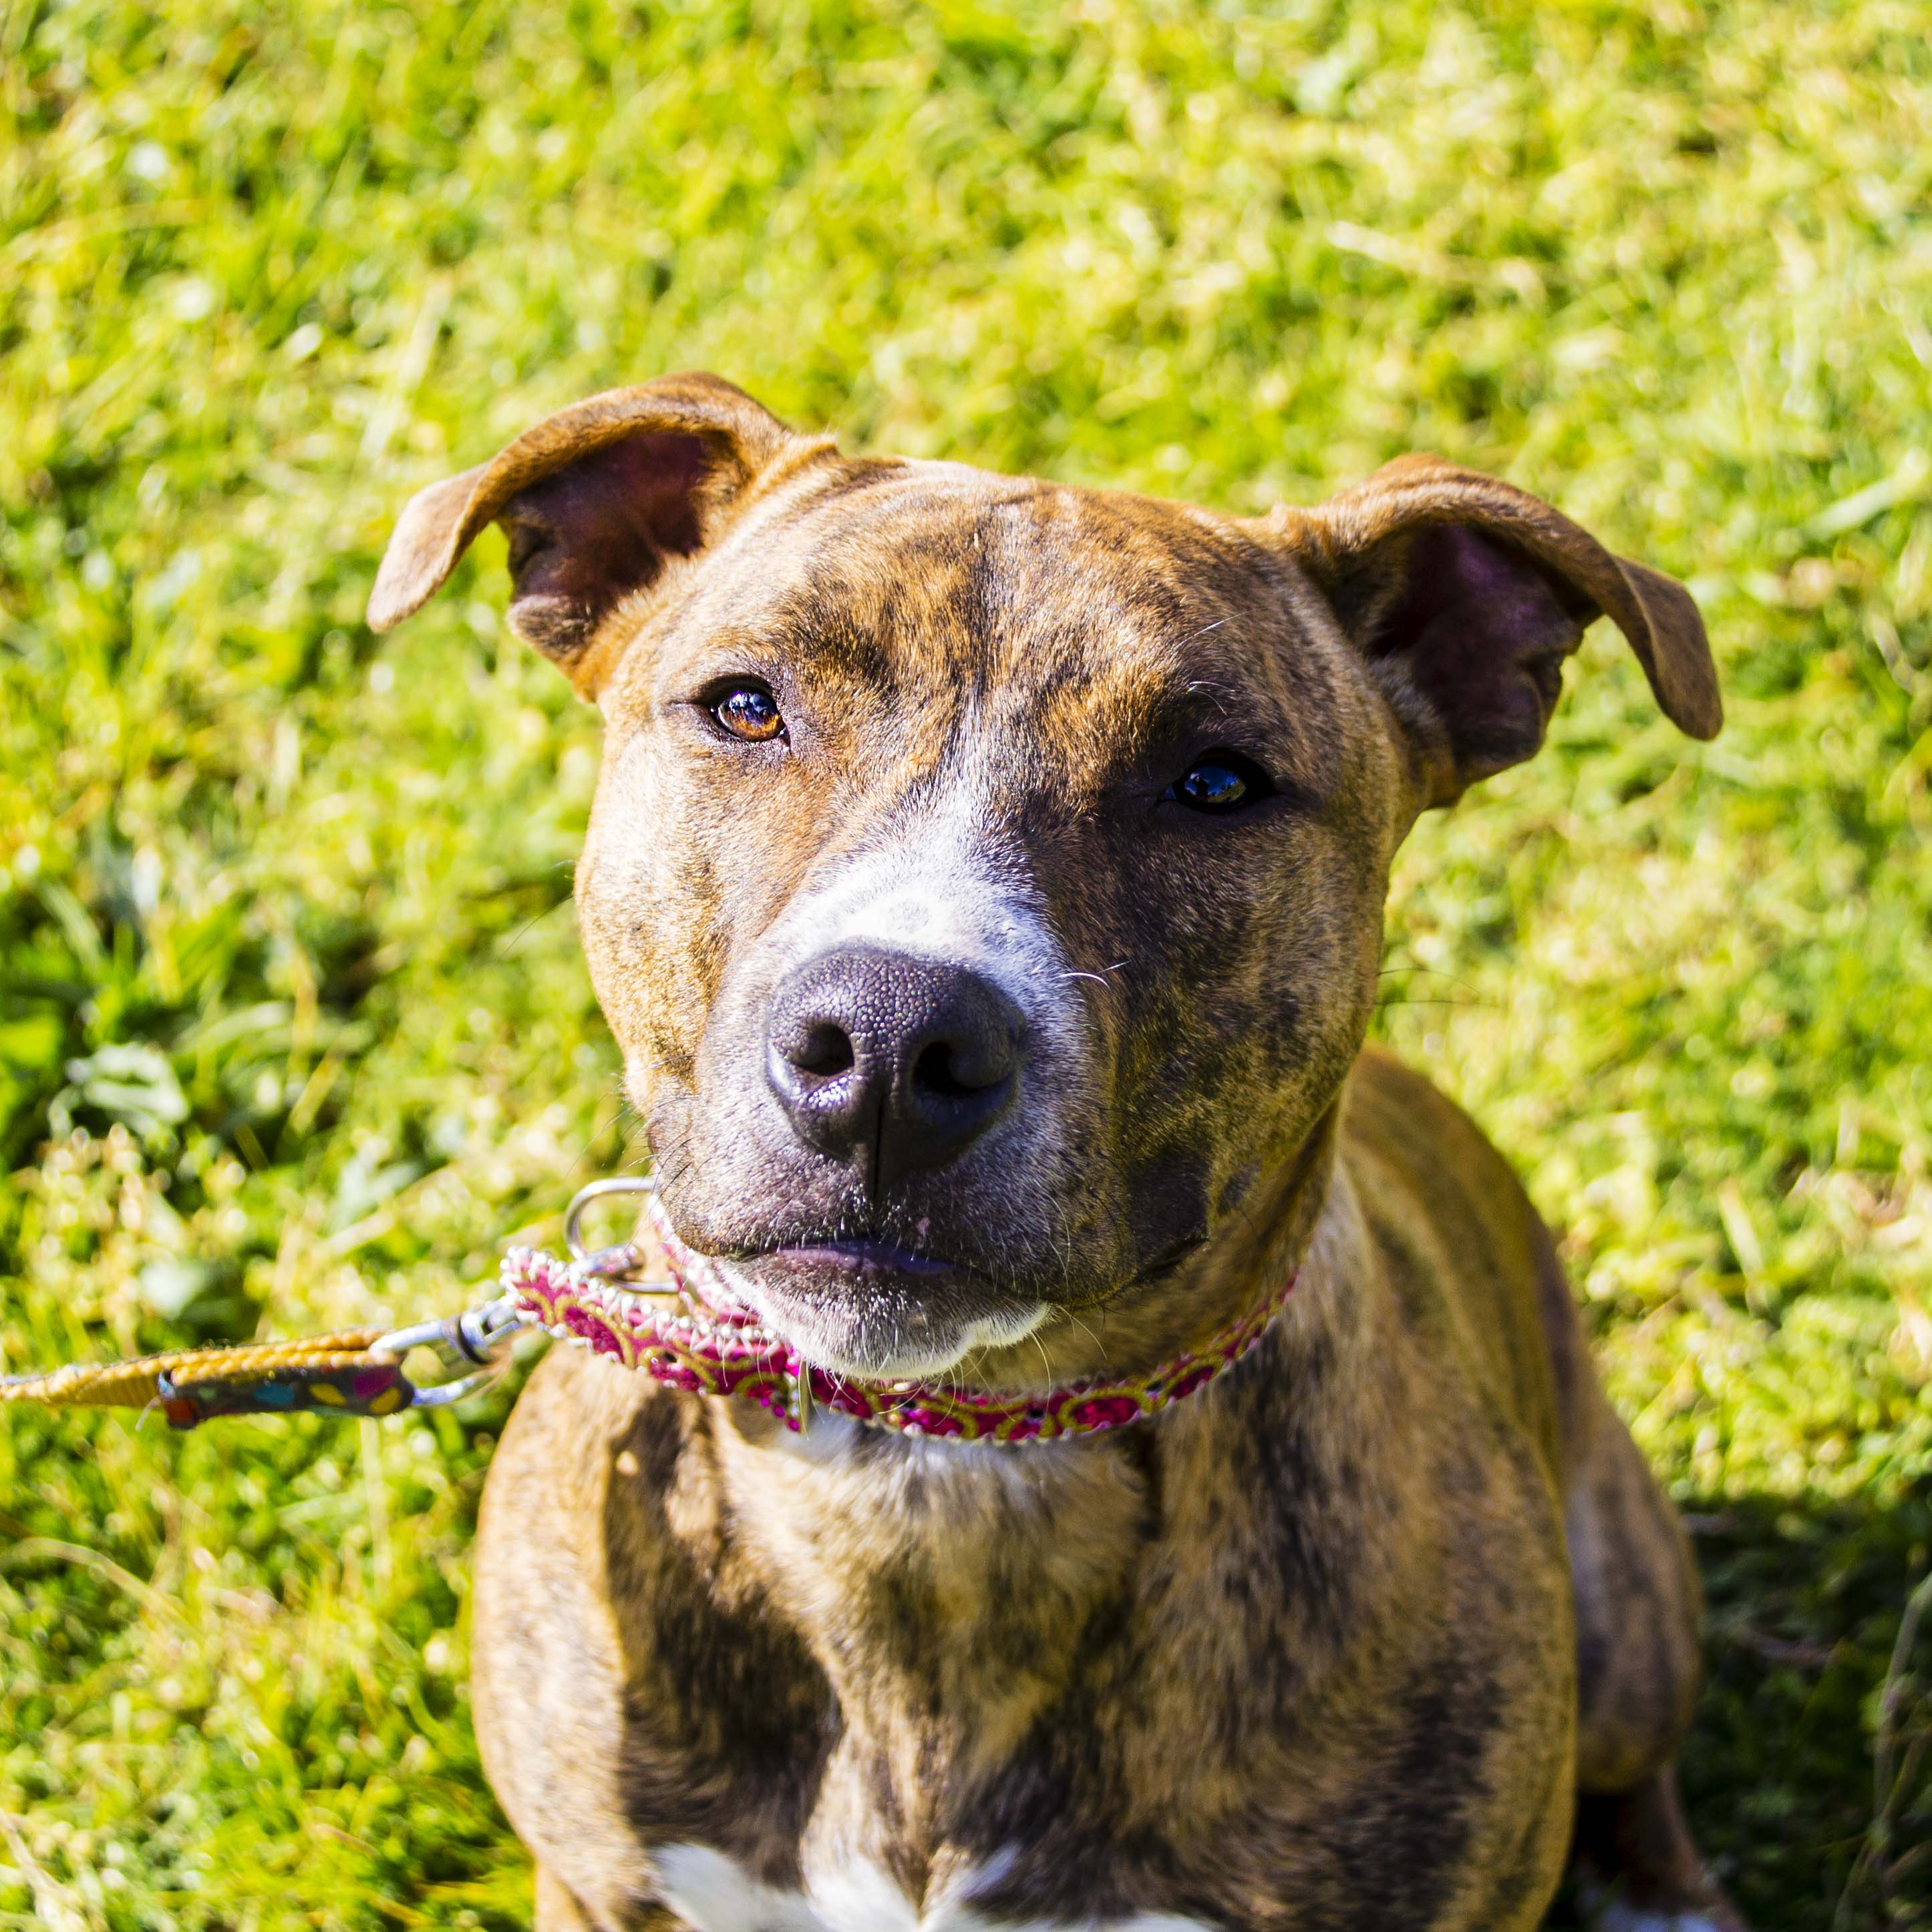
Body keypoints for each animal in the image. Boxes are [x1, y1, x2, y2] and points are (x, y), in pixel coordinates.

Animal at [369, 373, 1739, 1931]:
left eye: (1216, 782)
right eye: (746, 707)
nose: (892, 1042)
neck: (937, 1478)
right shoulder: (597, 1883)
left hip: (1622, 1618)